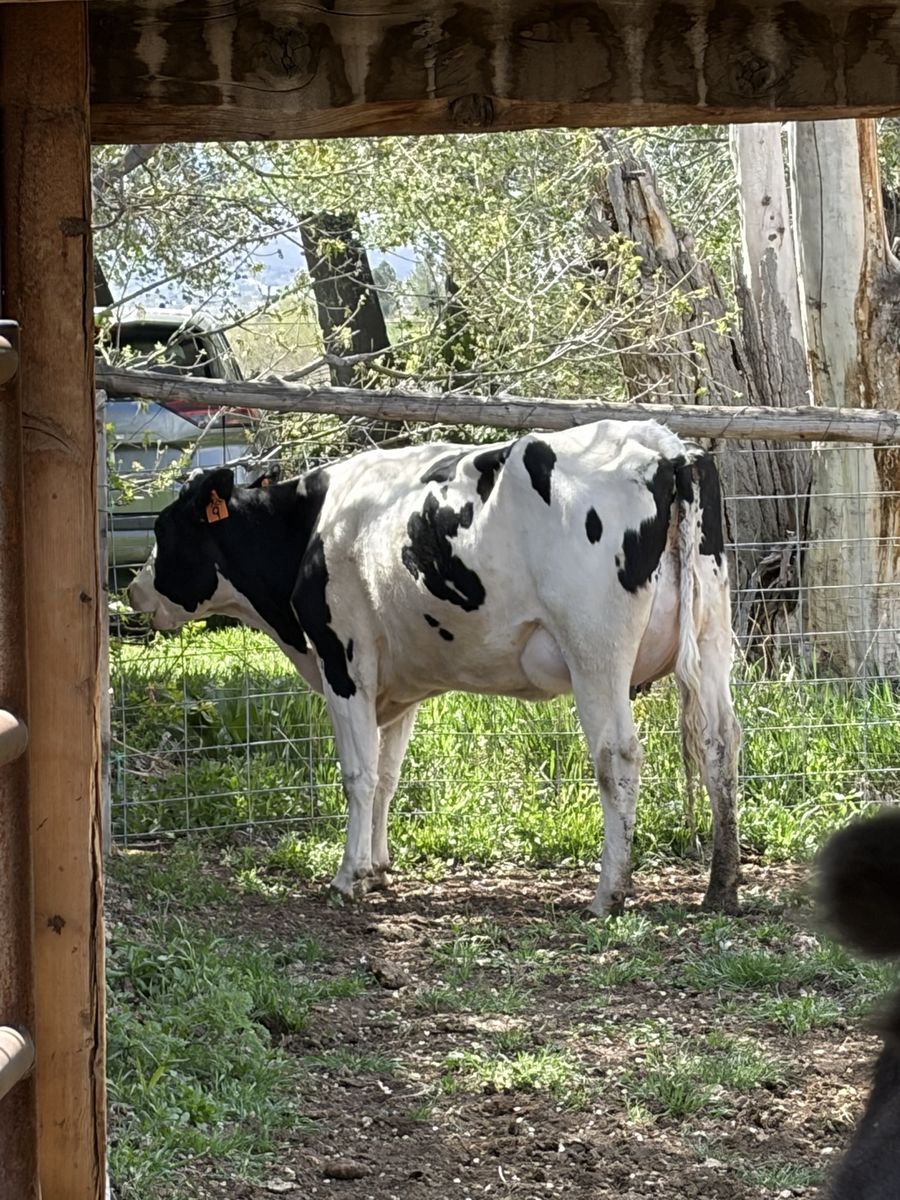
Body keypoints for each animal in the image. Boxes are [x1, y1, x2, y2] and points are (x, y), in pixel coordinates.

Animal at [128, 418, 741, 917]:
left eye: (164, 530)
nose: (134, 590)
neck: (311, 527)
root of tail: (663, 445)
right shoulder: (398, 685)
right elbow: (387, 776)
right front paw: (376, 868)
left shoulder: (343, 662)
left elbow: (358, 774)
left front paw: (348, 876)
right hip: (713, 637)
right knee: (720, 743)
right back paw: (722, 884)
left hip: (596, 650)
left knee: (618, 755)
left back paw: (608, 892)